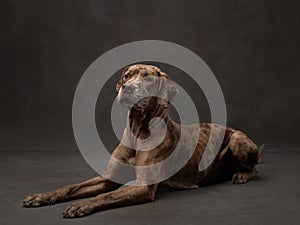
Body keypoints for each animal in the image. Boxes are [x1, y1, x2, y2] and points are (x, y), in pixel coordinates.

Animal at [21, 63, 260, 218]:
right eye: (127, 75)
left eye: (148, 78)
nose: (127, 88)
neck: (137, 131)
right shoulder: (108, 178)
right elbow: (72, 187)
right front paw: (42, 196)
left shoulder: (143, 186)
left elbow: (107, 196)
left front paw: (83, 205)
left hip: (237, 139)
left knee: (255, 169)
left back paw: (241, 175)